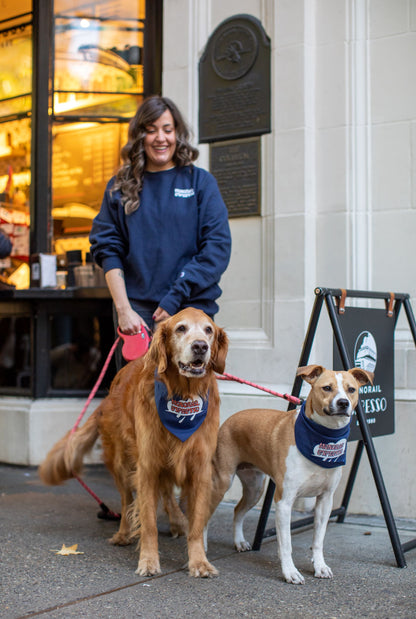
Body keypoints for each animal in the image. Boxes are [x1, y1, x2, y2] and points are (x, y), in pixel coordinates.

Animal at [210, 366, 372, 588]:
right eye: (327, 388)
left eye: (351, 389)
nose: (343, 403)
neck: (324, 438)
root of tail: (230, 419)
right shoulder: (284, 502)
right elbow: (286, 544)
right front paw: (290, 572)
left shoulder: (325, 500)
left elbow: (318, 540)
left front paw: (320, 566)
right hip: (223, 482)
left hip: (254, 488)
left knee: (238, 510)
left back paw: (239, 541)